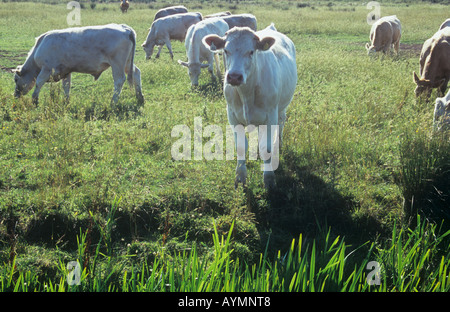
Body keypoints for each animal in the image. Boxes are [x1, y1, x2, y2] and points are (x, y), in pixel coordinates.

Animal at [14, 23, 144, 105]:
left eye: (15, 79)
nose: (15, 95)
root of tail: (125, 28)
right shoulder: (66, 72)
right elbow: (66, 87)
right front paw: (66, 102)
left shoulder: (46, 69)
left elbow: (38, 83)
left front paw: (34, 100)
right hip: (128, 63)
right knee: (136, 73)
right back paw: (140, 97)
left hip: (118, 64)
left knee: (119, 80)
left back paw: (113, 102)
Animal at [204, 23, 298, 189]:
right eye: (226, 50)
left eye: (251, 51)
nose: (234, 76)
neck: (246, 93)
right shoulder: (233, 116)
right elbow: (241, 147)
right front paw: (240, 177)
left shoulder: (270, 115)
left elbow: (267, 148)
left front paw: (269, 178)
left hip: (282, 107)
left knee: (281, 123)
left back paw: (279, 143)